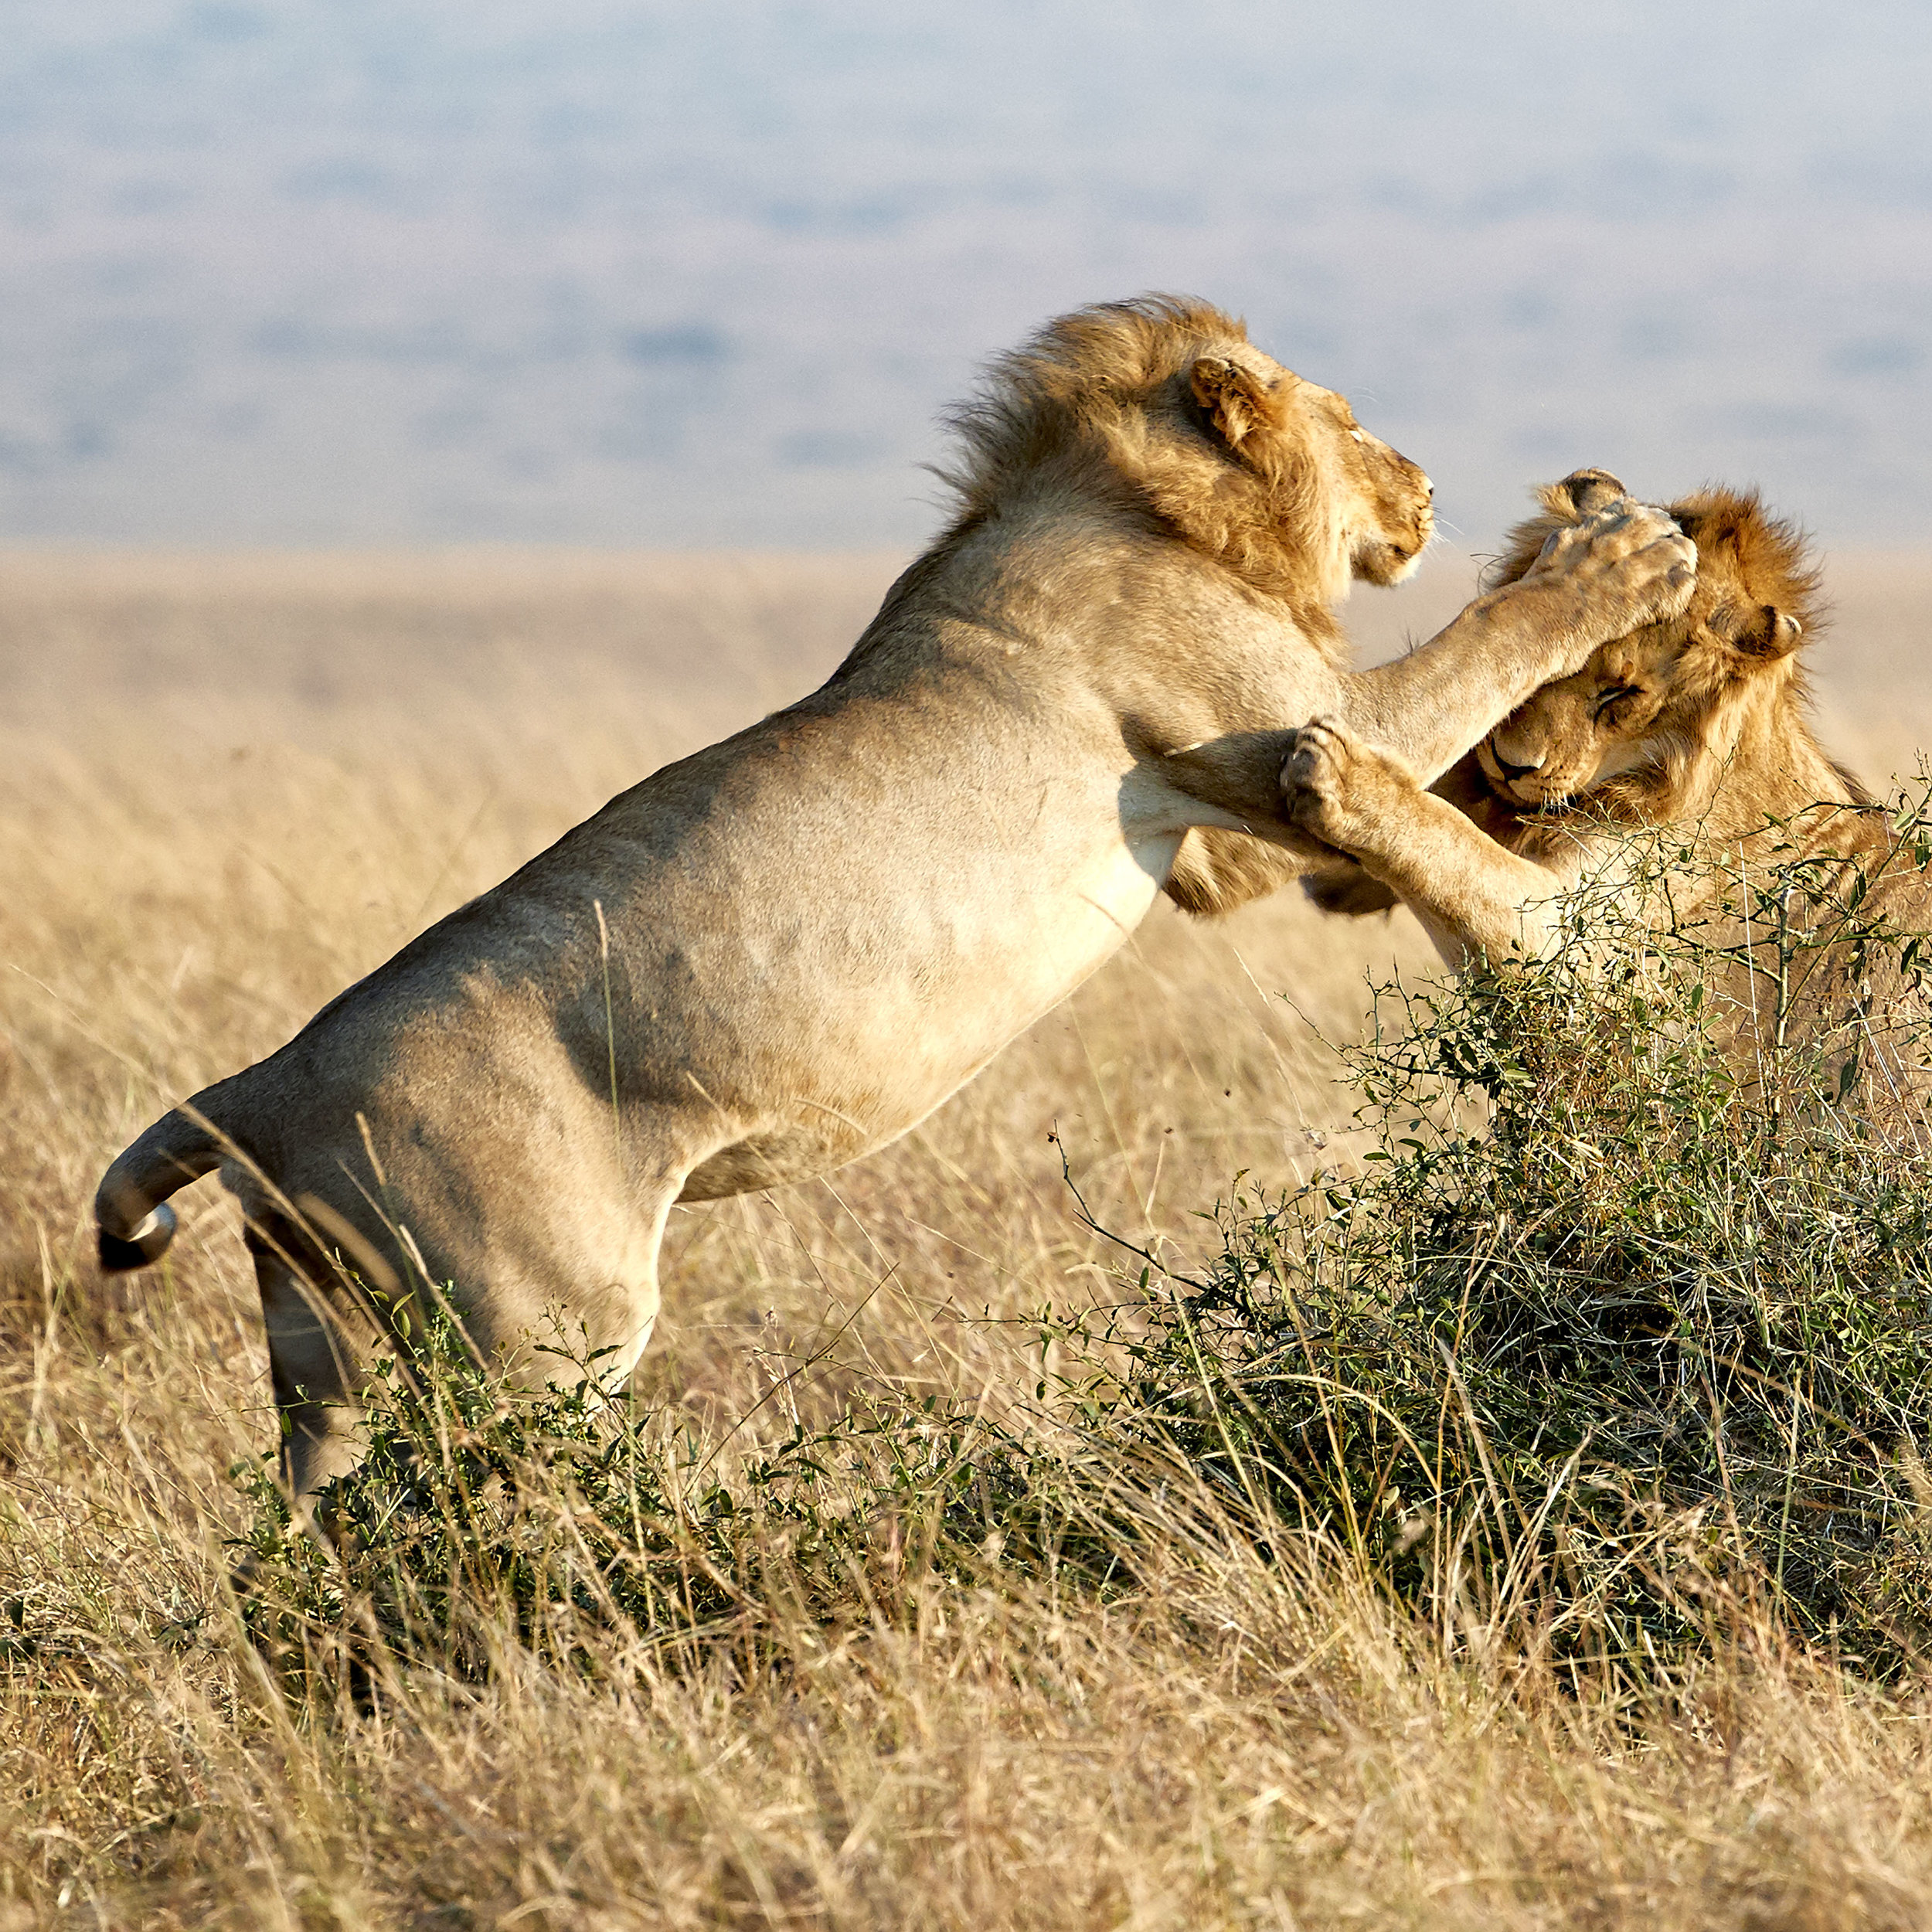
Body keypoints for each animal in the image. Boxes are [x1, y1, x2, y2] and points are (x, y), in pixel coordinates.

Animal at [94, 298, 1692, 1492]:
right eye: (1352, 420)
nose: (1423, 488)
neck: (1150, 506)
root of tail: (262, 1083)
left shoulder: (1227, 846)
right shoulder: (1296, 727)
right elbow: (1493, 644)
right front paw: (1619, 553)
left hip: (322, 1343)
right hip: (541, 1328)